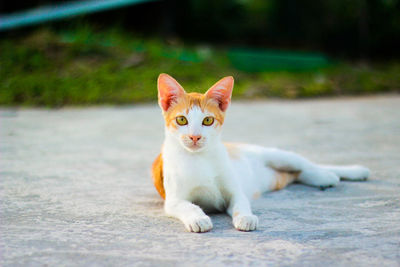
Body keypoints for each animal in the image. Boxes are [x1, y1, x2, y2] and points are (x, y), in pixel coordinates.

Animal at [152, 73, 370, 232]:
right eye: (182, 120)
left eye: (207, 120)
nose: (195, 137)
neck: (200, 158)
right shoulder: (173, 200)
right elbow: (186, 205)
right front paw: (198, 219)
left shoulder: (234, 191)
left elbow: (241, 203)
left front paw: (246, 217)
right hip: (278, 176)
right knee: (296, 174)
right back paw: (324, 178)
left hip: (276, 155)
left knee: (306, 165)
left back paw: (344, 172)